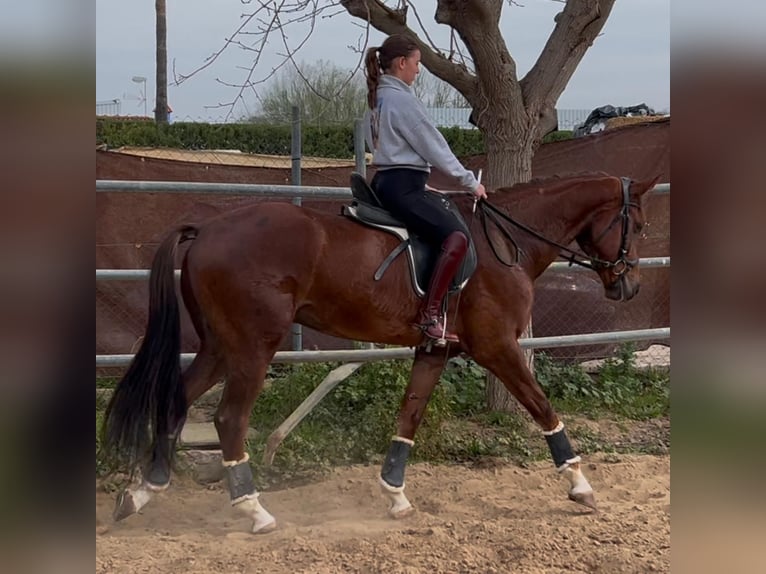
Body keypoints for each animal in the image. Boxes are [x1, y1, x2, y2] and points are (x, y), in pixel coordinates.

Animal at [102, 171, 660, 536]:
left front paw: (395, 495)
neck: (506, 243)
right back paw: (254, 510)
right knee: (228, 419)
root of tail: (209, 229)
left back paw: (140, 494)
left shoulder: (436, 350)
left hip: (220, 347)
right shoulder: (497, 347)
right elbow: (543, 407)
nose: (630, 286)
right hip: (253, 348)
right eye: (637, 225)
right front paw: (580, 485)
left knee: (176, 402)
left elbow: (409, 416)